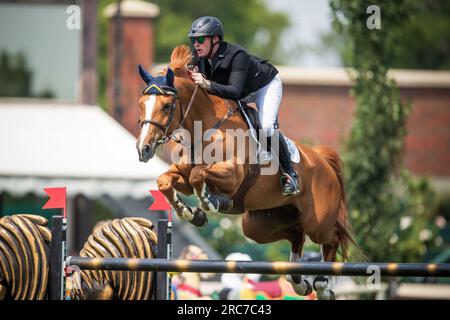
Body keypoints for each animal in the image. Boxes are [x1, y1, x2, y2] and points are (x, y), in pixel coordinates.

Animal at [135, 45, 354, 300]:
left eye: (166, 106)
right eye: (141, 103)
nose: (143, 149)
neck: (205, 129)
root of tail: (321, 160)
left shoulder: (233, 176)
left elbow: (199, 175)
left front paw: (211, 202)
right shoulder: (182, 177)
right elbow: (166, 181)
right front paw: (191, 213)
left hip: (317, 221)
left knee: (331, 239)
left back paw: (322, 285)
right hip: (258, 224)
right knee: (296, 235)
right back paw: (298, 282)